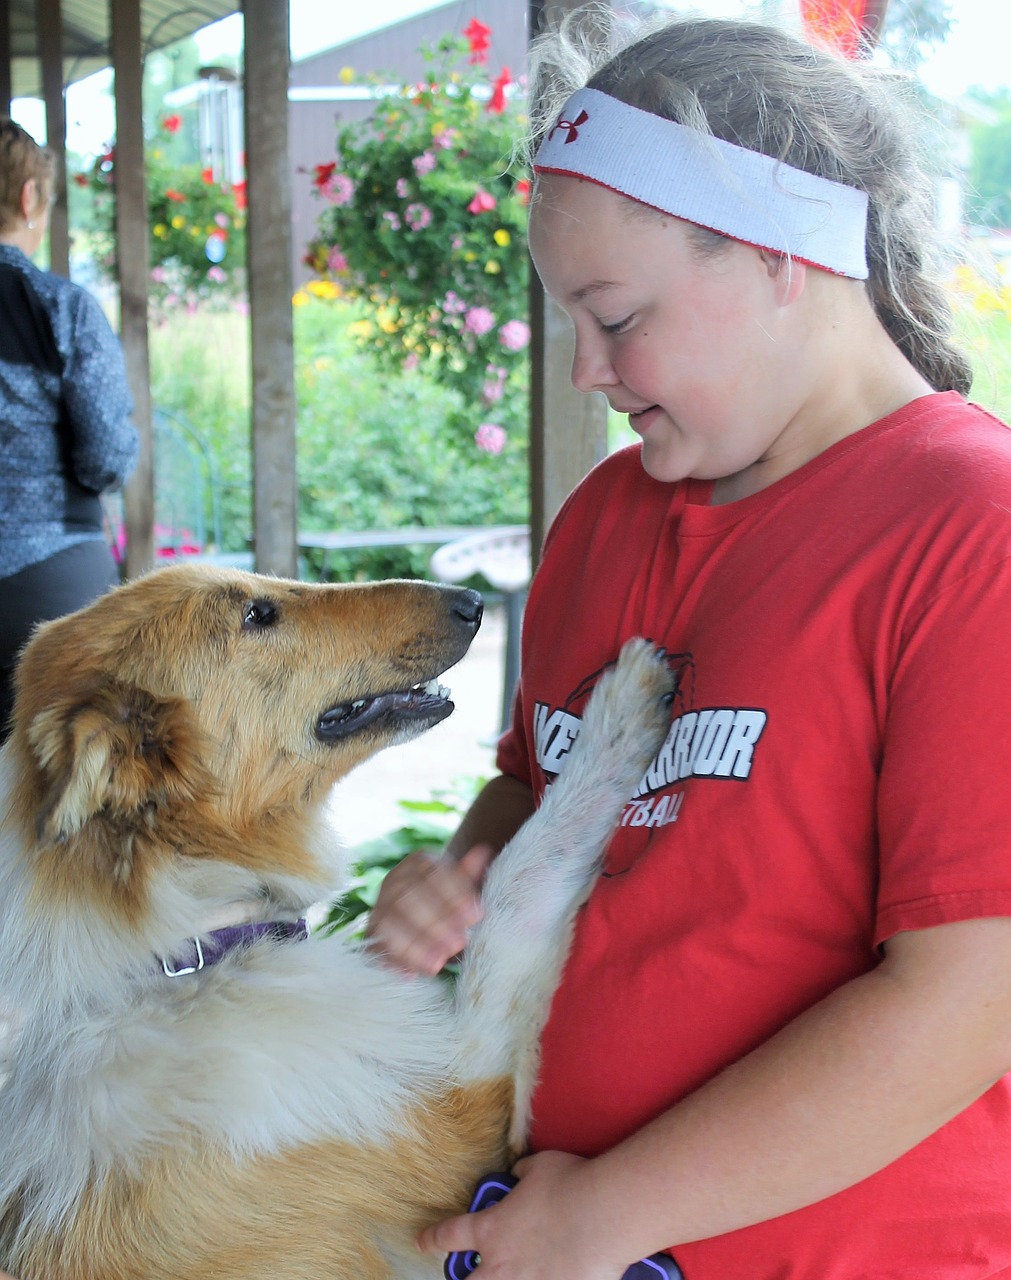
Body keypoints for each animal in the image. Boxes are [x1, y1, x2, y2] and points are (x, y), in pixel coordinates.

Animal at [1, 565, 680, 1280]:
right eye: (258, 615)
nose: (471, 602)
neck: (183, 952)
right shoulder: (456, 1130)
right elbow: (518, 885)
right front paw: (623, 707)